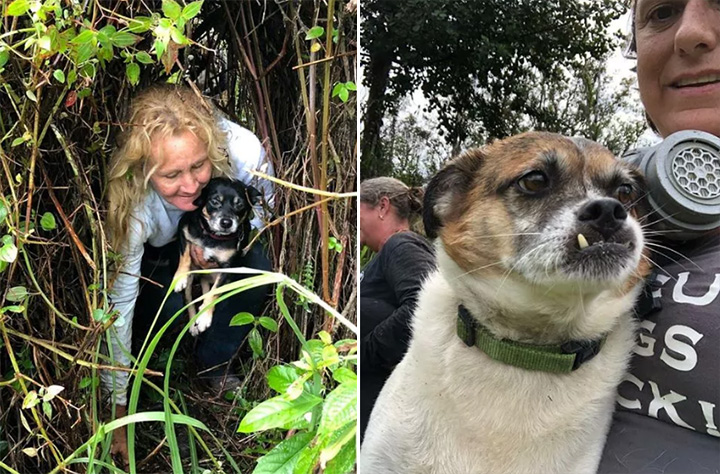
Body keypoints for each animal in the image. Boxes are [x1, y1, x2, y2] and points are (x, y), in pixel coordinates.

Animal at [173, 178, 262, 336]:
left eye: (239, 204)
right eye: (215, 201)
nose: (226, 223)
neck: (214, 237)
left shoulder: (228, 269)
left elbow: (214, 292)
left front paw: (204, 317)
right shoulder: (183, 231)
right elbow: (185, 257)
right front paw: (180, 276)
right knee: (189, 300)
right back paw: (192, 326)